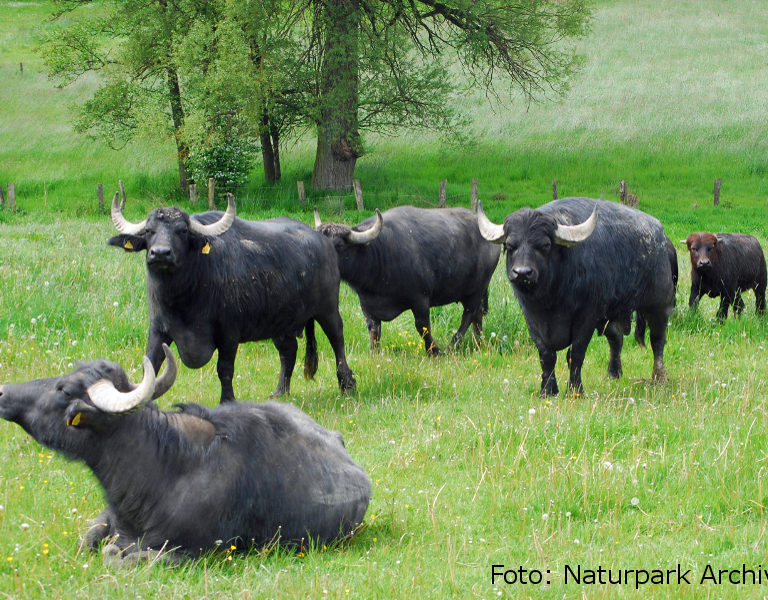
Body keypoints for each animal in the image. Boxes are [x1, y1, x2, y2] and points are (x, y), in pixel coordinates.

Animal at [0, 346, 372, 564]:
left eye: (63, 388)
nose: (3, 391)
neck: (161, 469)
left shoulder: (185, 552)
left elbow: (115, 554)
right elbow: (88, 541)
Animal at [106, 191, 356, 404]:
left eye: (182, 231)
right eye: (149, 230)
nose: (160, 253)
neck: (183, 300)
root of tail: (324, 242)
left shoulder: (229, 333)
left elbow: (224, 369)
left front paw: (227, 400)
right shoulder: (158, 329)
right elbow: (151, 365)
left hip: (328, 309)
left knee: (337, 339)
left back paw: (347, 384)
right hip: (281, 321)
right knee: (288, 351)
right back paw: (280, 391)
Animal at [316, 207, 500, 356]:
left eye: (338, 245)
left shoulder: (420, 298)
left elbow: (422, 327)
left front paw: (434, 351)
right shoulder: (367, 304)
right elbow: (374, 330)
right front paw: (374, 352)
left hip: (477, 288)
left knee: (468, 315)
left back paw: (452, 345)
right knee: (477, 315)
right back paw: (478, 340)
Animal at [476, 197, 676, 396]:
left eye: (545, 245)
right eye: (509, 245)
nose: (522, 273)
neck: (550, 299)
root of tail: (663, 238)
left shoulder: (587, 316)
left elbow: (575, 354)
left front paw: (574, 391)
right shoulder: (531, 317)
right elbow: (546, 355)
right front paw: (547, 390)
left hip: (659, 304)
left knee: (657, 340)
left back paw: (659, 377)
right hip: (608, 315)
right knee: (616, 338)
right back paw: (613, 374)